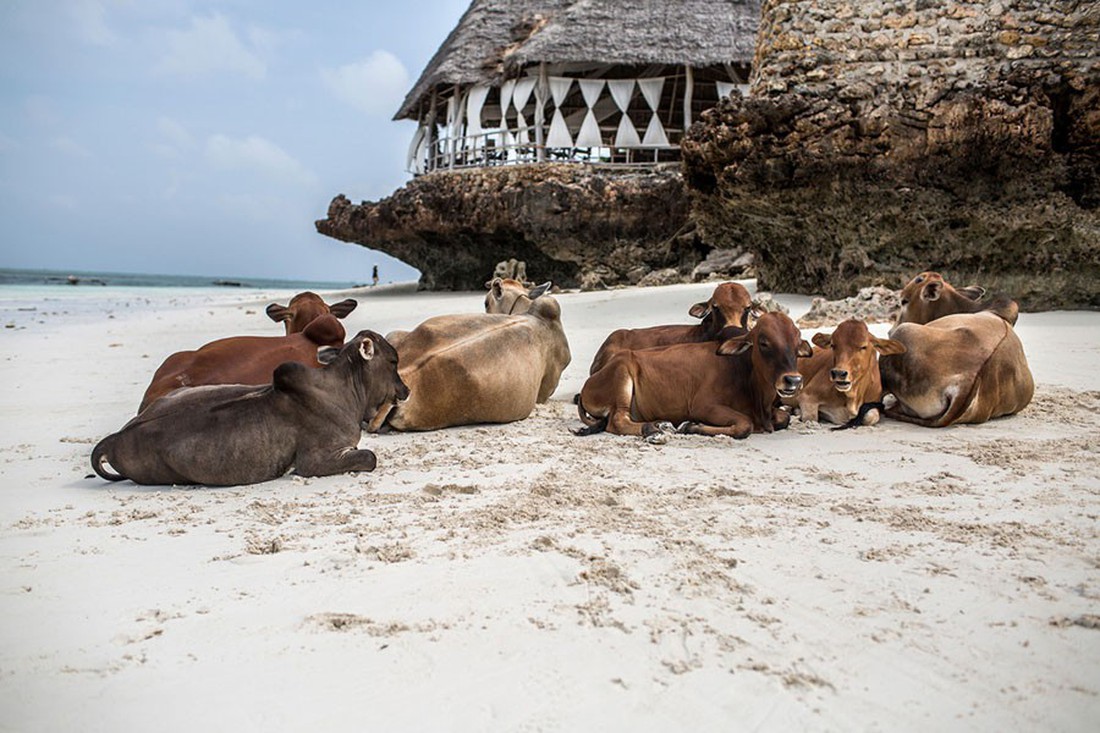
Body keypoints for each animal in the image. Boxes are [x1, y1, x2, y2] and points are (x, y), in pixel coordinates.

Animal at [93, 327, 409, 482]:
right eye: (393, 361)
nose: (405, 390)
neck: (344, 388)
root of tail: (112, 439)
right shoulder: (316, 459)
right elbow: (369, 457)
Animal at [576, 310, 809, 440]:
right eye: (763, 342)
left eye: (797, 343)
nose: (793, 380)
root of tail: (588, 384)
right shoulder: (703, 406)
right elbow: (745, 425)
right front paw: (691, 426)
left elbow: (785, 417)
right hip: (622, 374)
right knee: (617, 421)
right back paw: (652, 430)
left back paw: (660, 424)